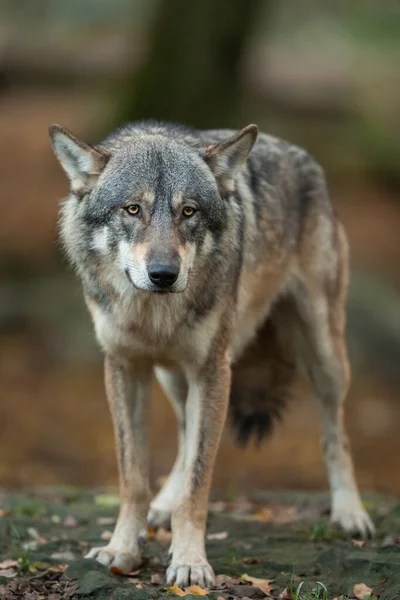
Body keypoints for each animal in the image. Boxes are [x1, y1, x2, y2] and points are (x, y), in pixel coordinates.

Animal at [50, 119, 376, 588]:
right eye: (133, 209)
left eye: (189, 212)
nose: (163, 274)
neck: (153, 315)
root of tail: (304, 157)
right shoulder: (125, 368)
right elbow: (133, 478)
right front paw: (122, 548)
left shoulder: (212, 370)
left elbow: (199, 482)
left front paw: (189, 560)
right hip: (173, 377)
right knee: (185, 434)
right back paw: (162, 506)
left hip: (325, 355)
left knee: (336, 432)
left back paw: (350, 513)